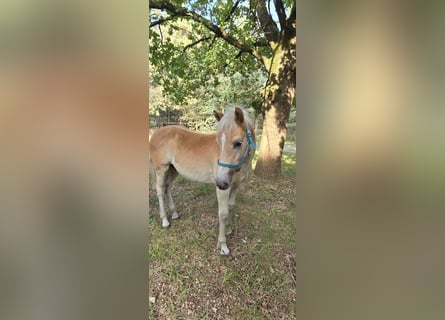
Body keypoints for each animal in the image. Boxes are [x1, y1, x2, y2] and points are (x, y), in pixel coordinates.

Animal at [149, 107, 255, 255]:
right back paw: (165, 220)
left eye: (238, 143)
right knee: (159, 190)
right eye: (218, 142)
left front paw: (228, 230)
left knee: (167, 188)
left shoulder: (235, 185)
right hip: (162, 169)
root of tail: (156, 133)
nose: (220, 182)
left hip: (173, 170)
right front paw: (223, 245)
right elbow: (223, 213)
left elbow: (230, 207)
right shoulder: (223, 189)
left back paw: (174, 214)